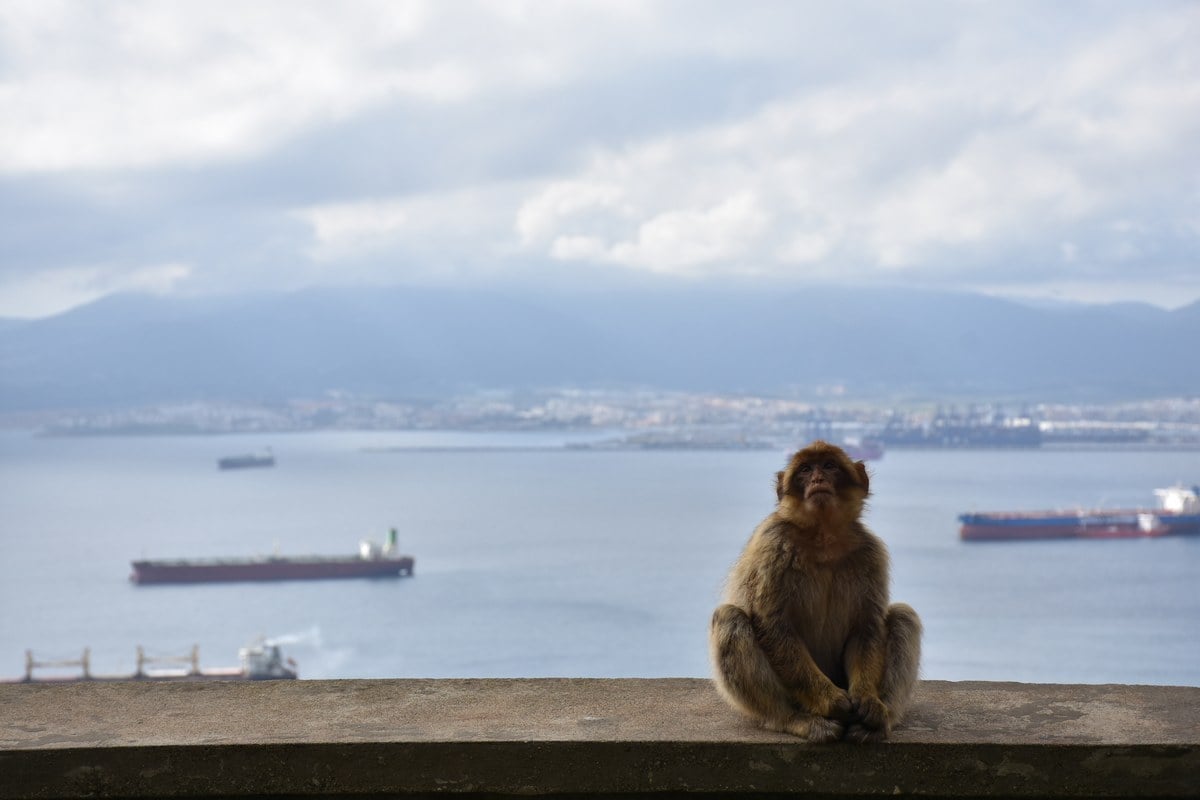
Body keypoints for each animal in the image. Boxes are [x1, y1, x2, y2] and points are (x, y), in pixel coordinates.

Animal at [709, 440, 922, 743]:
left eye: (829, 466)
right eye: (806, 470)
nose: (818, 479)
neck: (823, 537)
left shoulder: (871, 553)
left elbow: (866, 628)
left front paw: (867, 699)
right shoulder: (771, 542)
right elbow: (773, 626)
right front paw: (832, 702)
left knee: (903, 615)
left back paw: (881, 720)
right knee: (729, 617)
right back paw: (794, 719)